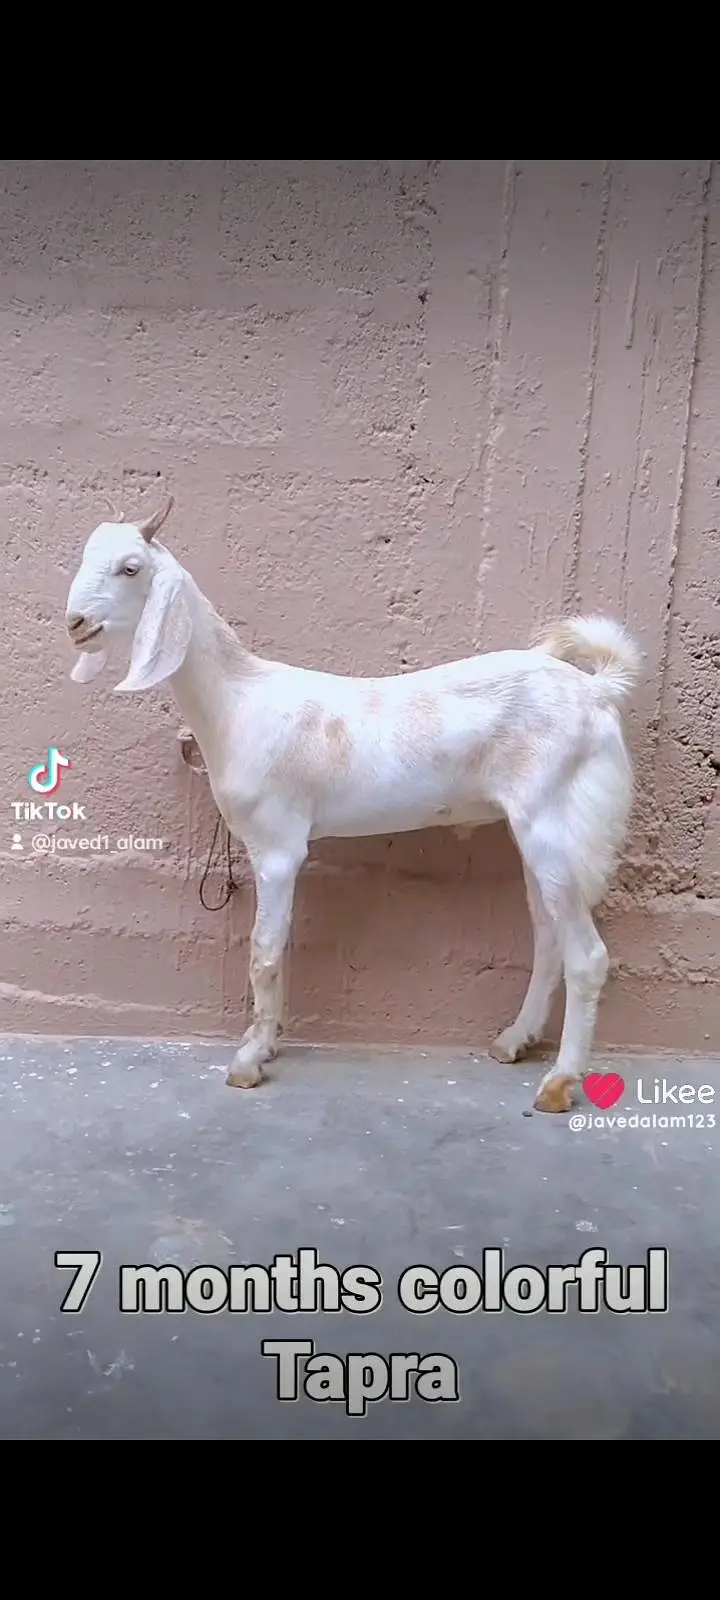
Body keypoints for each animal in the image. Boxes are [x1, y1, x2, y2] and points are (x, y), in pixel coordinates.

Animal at [64, 496, 642, 1114]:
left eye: (130, 568)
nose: (75, 623)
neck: (237, 702)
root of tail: (598, 691)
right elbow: (281, 946)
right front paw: (267, 1042)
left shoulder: (277, 846)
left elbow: (264, 951)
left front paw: (248, 1061)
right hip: (538, 832)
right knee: (550, 936)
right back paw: (514, 1040)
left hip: (555, 822)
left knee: (588, 956)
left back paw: (559, 1083)